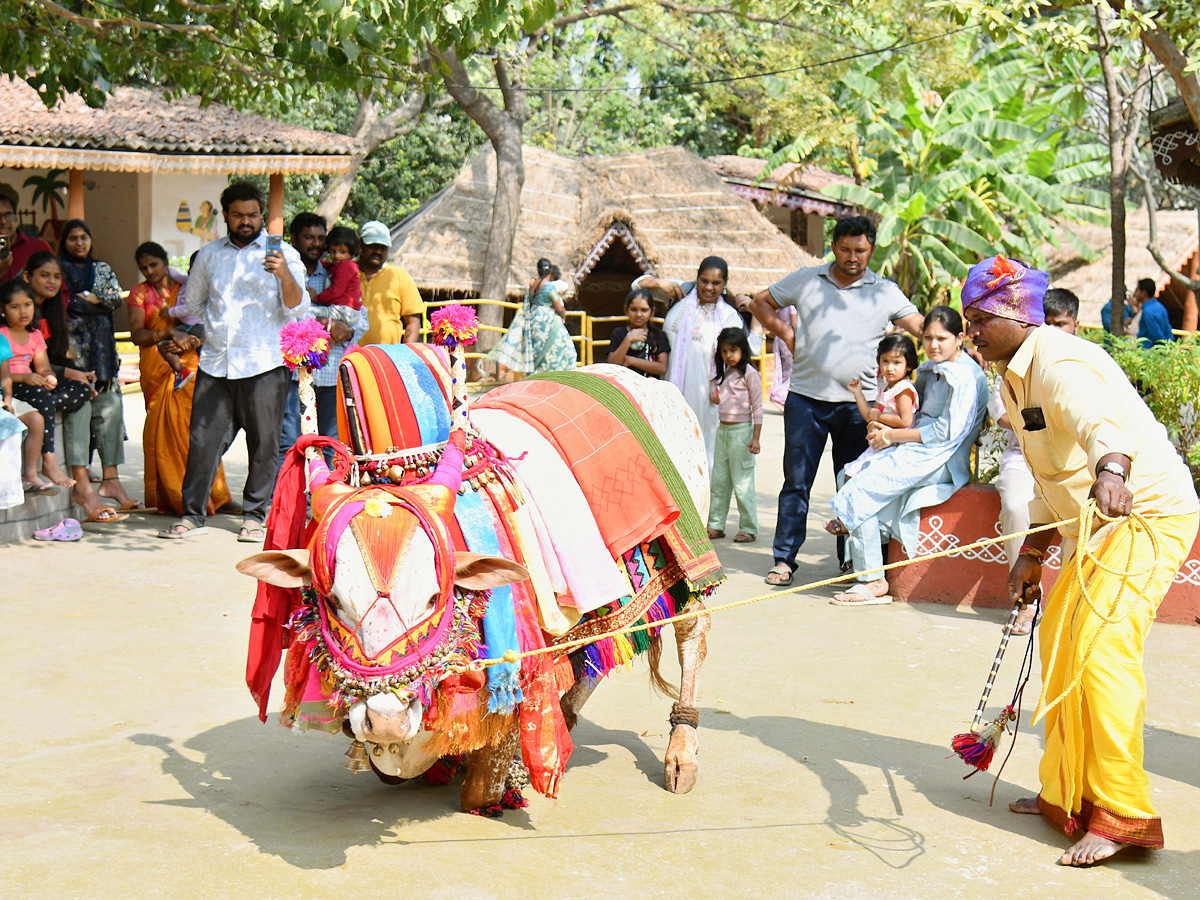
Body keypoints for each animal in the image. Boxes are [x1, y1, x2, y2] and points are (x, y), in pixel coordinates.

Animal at [238, 314, 715, 820]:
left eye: (435, 596)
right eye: (332, 600)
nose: (384, 721)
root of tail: (647, 380)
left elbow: (479, 785)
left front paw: (504, 769)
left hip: (689, 555)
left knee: (692, 632)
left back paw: (680, 750)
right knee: (597, 646)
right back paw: (565, 714)